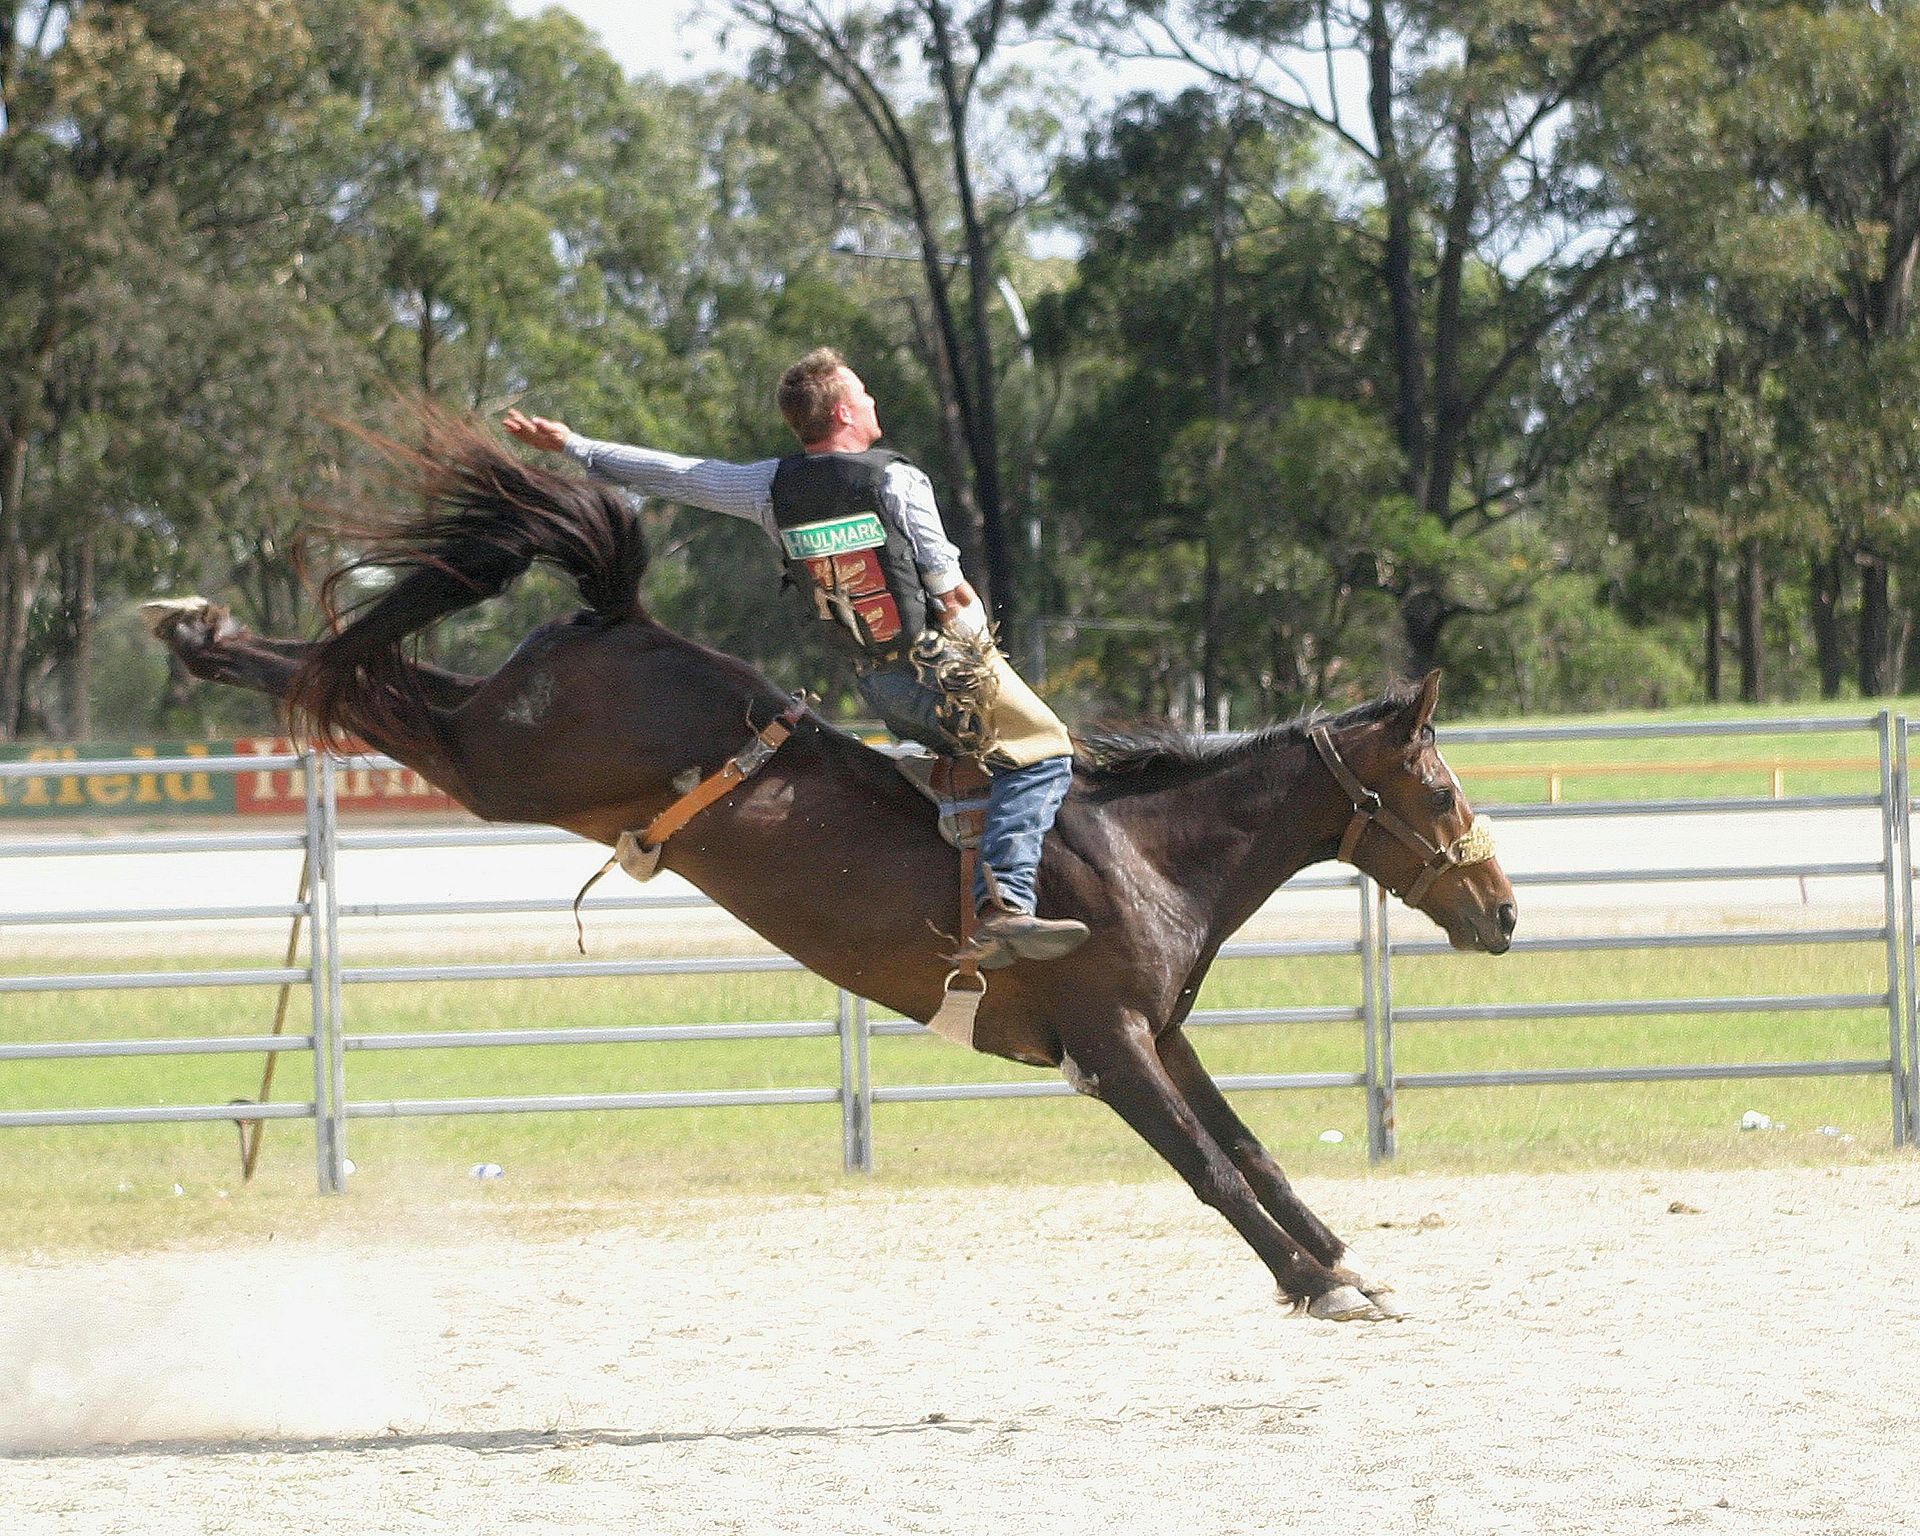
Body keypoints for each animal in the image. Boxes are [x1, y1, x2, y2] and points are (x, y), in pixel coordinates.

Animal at [143, 414, 1517, 1322]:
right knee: (373, 693)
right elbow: (1209, 1168)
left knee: (383, 675)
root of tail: (624, 619)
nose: (1503, 912)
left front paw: (1340, 1263)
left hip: (507, 741)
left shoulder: (1160, 1035)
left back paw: (203, 629)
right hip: (502, 767)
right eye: (1443, 790)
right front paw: (1317, 1286)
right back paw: (204, 635)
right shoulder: (1111, 1046)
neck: (1139, 850)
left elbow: (1254, 1151)